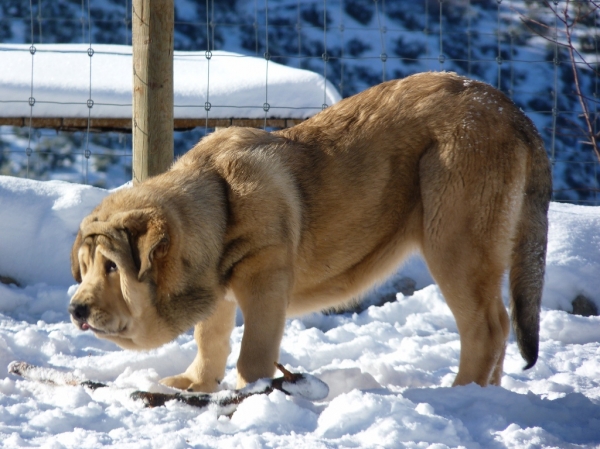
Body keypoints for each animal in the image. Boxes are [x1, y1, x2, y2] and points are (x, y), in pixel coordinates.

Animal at [68, 72, 552, 390]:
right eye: (85, 267)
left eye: (112, 268)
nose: (75, 308)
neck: (219, 207)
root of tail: (511, 110)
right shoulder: (218, 292)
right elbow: (211, 341)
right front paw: (195, 384)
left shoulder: (265, 281)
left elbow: (254, 352)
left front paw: (248, 395)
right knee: (498, 325)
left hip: (454, 237)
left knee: (487, 326)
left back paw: (461, 394)